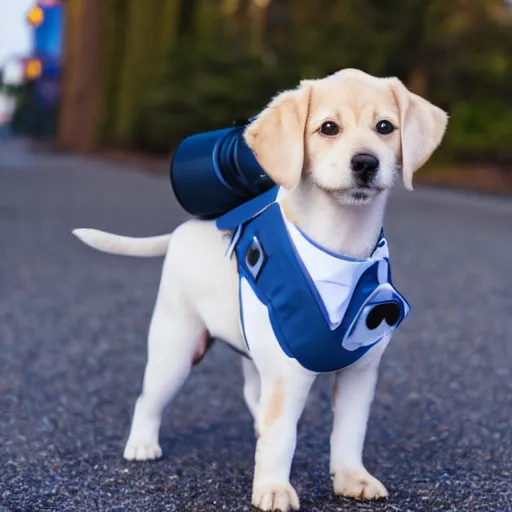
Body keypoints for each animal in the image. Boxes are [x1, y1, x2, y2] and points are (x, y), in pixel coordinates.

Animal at [73, 69, 448, 512]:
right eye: (328, 128)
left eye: (385, 127)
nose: (365, 163)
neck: (341, 246)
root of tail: (182, 230)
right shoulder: (288, 375)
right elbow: (282, 435)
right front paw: (273, 488)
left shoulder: (360, 373)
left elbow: (349, 433)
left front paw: (351, 478)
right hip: (175, 350)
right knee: (149, 399)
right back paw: (142, 444)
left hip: (251, 355)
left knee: (254, 397)